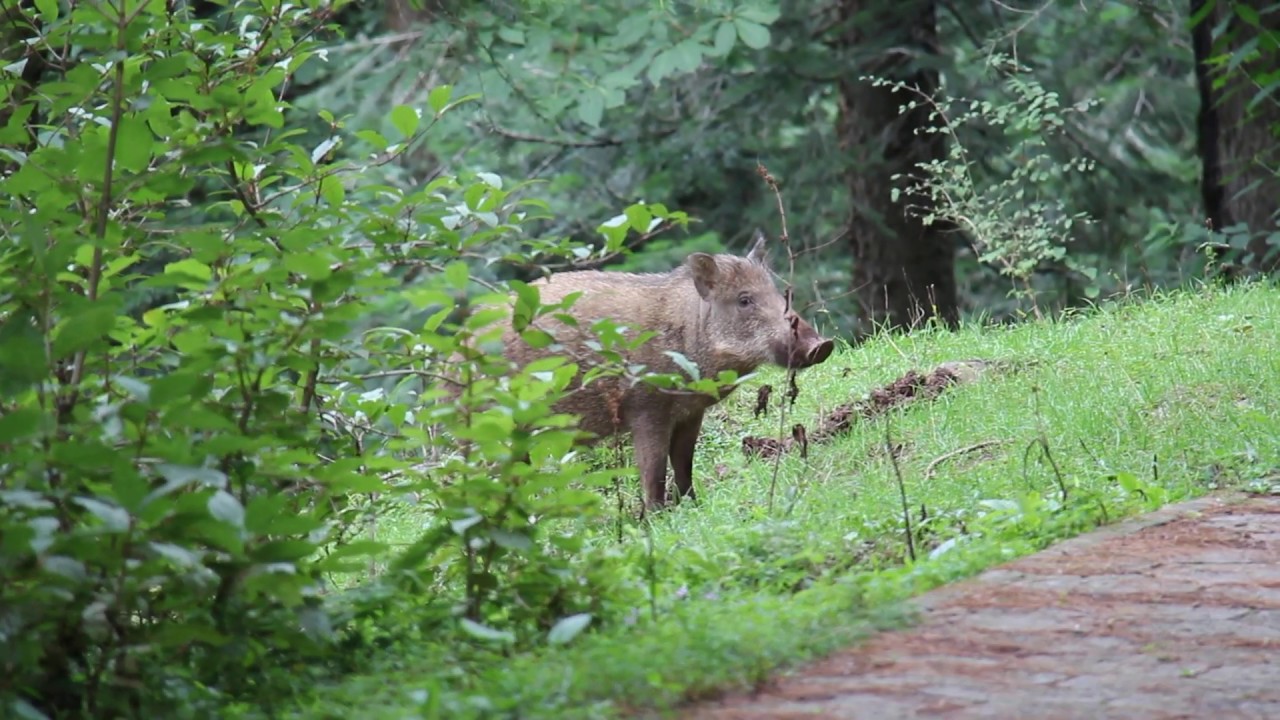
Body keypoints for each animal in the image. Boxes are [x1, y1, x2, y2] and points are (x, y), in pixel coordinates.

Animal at [490, 230, 834, 511]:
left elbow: (684, 463)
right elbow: (654, 471)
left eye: (779, 294)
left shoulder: (691, 413)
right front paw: (656, 516)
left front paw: (692, 506)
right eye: (744, 300)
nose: (822, 345)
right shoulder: (646, 409)